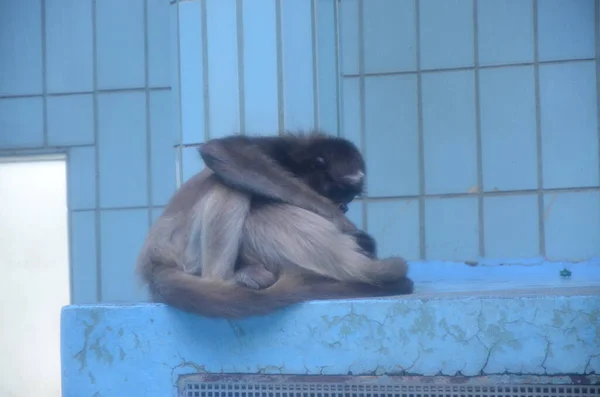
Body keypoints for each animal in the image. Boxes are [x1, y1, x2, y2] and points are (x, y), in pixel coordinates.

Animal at [137, 131, 414, 318]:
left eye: (347, 200)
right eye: (335, 196)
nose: (342, 207)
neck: (295, 165)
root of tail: (152, 257)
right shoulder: (281, 149)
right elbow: (222, 151)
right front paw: (341, 223)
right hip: (186, 251)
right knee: (227, 183)